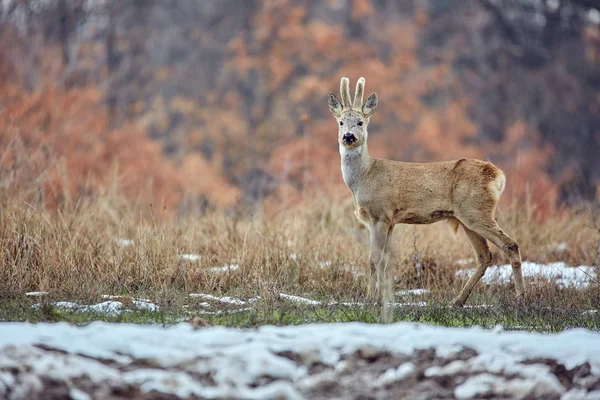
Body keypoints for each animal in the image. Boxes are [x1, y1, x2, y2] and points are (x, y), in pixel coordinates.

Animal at [328, 77, 524, 306]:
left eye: (360, 122)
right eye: (341, 122)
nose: (348, 137)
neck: (364, 177)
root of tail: (498, 175)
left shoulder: (380, 215)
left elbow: (374, 260)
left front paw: (369, 299)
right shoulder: (391, 221)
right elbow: (385, 261)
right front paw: (384, 299)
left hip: (476, 210)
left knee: (510, 245)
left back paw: (521, 299)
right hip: (466, 217)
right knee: (485, 256)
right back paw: (457, 301)